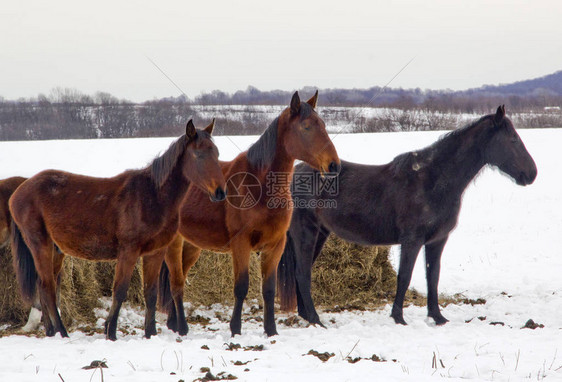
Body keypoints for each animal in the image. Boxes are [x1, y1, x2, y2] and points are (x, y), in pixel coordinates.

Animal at [9, 120, 225, 340]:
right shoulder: (128, 251)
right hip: (40, 244)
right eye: (198, 155)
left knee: (45, 288)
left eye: (216, 153)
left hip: (56, 250)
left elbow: (151, 293)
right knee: (48, 288)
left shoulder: (155, 252)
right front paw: (110, 332)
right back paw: (62, 332)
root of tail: (19, 191)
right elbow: (120, 291)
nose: (219, 192)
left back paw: (51, 331)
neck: (152, 196)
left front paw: (150, 333)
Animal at [142, 91, 340, 336]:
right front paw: (235, 329)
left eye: (323, 124)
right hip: (174, 244)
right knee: (176, 283)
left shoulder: (275, 245)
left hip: (192, 246)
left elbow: (269, 289)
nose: (333, 165)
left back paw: (174, 324)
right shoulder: (241, 243)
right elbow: (241, 286)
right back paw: (181, 327)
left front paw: (271, 331)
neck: (260, 186)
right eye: (306, 127)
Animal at [278, 106, 536, 326]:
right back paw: (315, 320)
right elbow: (404, 276)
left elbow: (433, 276)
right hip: (306, 233)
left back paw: (307, 317)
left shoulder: (437, 241)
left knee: (302, 273)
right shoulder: (412, 240)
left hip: (320, 234)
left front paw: (437, 317)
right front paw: (398, 318)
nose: (532, 174)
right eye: (513, 139)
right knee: (302, 273)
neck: (432, 181)